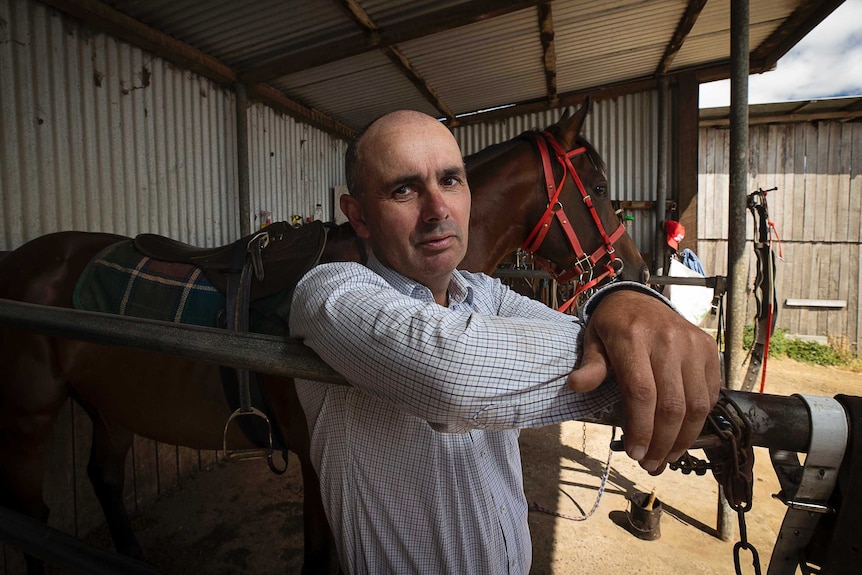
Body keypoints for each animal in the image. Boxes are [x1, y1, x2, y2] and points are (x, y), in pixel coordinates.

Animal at [0, 100, 648, 575]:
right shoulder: (317, 467)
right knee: (31, 509)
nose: (638, 271)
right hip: (30, 416)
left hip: (109, 406)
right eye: (599, 185)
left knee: (104, 479)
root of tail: (19, 262)